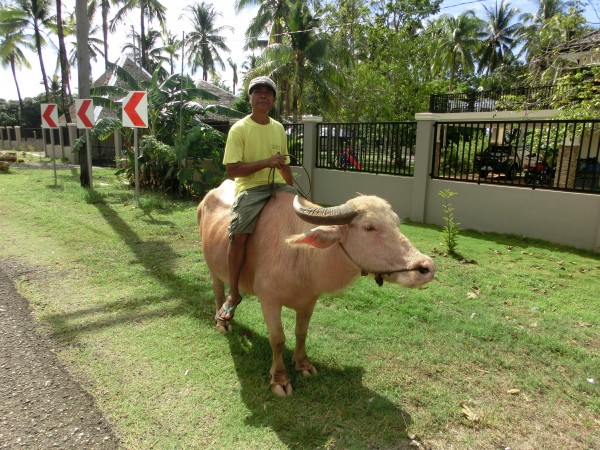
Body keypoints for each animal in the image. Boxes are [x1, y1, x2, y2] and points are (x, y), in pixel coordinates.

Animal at [198, 180, 436, 398]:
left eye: (396, 223)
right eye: (369, 227)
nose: (426, 267)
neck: (301, 255)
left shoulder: (309, 301)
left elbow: (301, 332)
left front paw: (303, 364)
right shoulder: (269, 301)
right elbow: (278, 339)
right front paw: (280, 378)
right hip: (213, 267)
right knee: (218, 289)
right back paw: (223, 320)